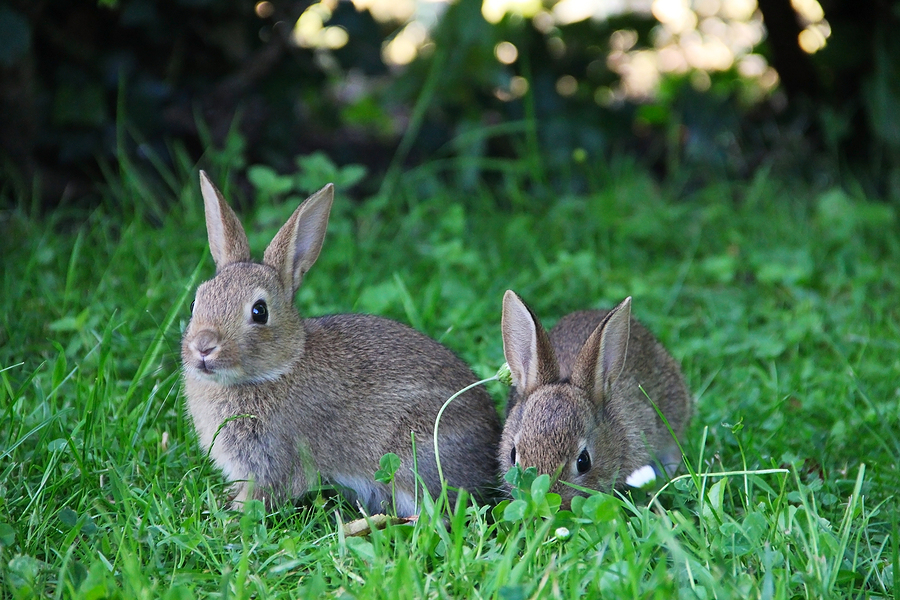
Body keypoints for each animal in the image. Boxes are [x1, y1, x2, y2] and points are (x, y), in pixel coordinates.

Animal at [181, 171, 501, 516]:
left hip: (413, 456)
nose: (203, 346)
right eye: (196, 302)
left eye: (259, 311)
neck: (280, 368)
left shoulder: (273, 460)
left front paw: (232, 516)